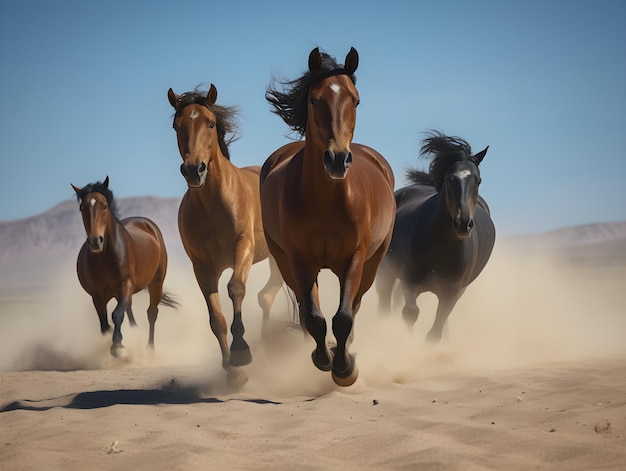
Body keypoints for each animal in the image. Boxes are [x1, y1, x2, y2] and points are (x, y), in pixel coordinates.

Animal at [72, 177, 177, 358]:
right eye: (82, 208)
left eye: (104, 205)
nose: (95, 241)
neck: (105, 258)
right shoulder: (97, 296)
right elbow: (105, 325)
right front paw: (115, 343)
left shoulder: (125, 284)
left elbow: (117, 314)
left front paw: (118, 347)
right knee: (129, 310)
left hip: (155, 282)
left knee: (151, 313)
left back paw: (149, 348)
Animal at [167, 82, 282, 384]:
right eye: (176, 125)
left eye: (210, 123)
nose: (194, 170)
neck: (213, 204)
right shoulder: (202, 267)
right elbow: (215, 318)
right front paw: (233, 372)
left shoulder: (243, 248)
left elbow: (235, 288)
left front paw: (241, 352)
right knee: (268, 295)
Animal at [260, 48, 392, 388]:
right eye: (313, 100)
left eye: (355, 100)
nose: (337, 159)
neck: (326, 201)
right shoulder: (298, 258)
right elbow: (314, 317)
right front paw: (324, 358)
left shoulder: (355, 257)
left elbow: (343, 317)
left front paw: (345, 367)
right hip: (287, 262)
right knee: (308, 304)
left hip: (373, 262)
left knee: (354, 306)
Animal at [372, 133, 494, 342]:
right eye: (449, 179)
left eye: (478, 181)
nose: (463, 223)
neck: (441, 245)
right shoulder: (409, 282)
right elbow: (410, 313)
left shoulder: (451, 293)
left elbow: (435, 330)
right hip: (387, 270)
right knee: (385, 301)